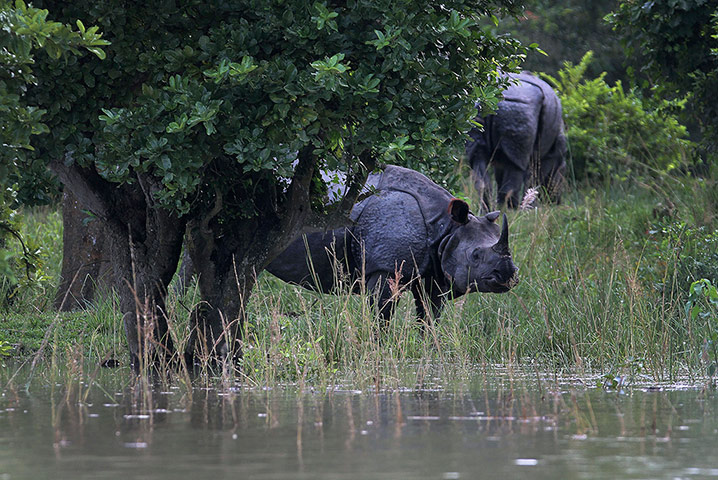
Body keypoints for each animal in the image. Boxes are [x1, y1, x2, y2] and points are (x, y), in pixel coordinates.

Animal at [266, 165, 519, 327]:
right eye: (475, 255)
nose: (508, 275)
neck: (445, 227)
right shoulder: (384, 268)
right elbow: (382, 314)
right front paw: (379, 348)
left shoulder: (434, 270)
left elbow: (429, 316)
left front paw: (428, 348)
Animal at [466, 72, 567, 209]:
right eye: (562, 178)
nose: (557, 202)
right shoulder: (549, 156)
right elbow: (535, 178)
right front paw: (532, 207)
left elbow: (500, 174)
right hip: (520, 107)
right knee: (516, 166)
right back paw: (511, 209)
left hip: (478, 111)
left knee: (478, 157)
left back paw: (489, 209)